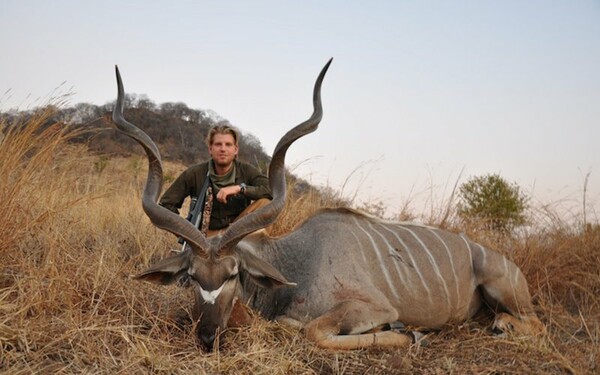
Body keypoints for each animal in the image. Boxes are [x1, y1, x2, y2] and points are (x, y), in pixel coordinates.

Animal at [111, 60, 544, 352]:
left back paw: (501, 326)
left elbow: (314, 330)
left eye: (233, 274)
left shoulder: (375, 308)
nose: (207, 337)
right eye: (191, 276)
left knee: (533, 322)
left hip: (504, 289)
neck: (299, 262)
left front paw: (408, 334)